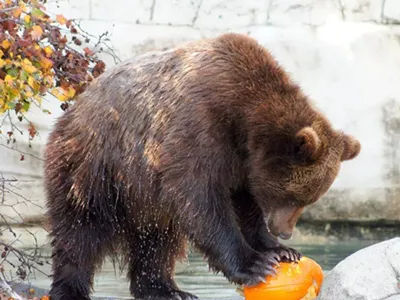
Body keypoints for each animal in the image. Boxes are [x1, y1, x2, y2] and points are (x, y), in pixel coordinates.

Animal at [43, 32, 360, 300]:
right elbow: (201, 201)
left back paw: (167, 290)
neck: (244, 119)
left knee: (158, 241)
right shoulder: (196, 129)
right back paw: (70, 288)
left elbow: (246, 205)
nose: (285, 232)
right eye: (293, 197)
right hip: (94, 169)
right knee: (80, 231)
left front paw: (279, 250)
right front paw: (255, 264)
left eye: (309, 199)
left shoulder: (241, 164)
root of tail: (74, 108)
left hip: (143, 198)